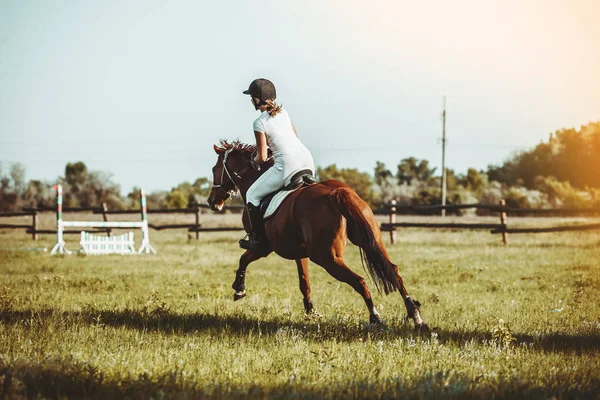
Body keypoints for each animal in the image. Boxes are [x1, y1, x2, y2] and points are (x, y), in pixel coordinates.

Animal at [206, 141, 426, 332]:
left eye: (214, 169)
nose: (212, 202)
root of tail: (338, 192)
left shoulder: (264, 247)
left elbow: (244, 259)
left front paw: (239, 289)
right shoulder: (299, 252)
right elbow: (304, 281)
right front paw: (310, 310)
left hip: (327, 258)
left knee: (360, 281)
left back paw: (375, 318)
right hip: (371, 241)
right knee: (393, 271)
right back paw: (416, 316)